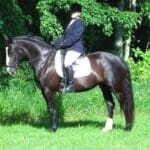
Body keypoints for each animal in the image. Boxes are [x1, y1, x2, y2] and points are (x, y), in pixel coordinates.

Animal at [5, 35, 135, 132]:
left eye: (11, 51)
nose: (10, 71)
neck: (44, 60)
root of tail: (118, 59)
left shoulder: (49, 90)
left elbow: (51, 109)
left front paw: (53, 129)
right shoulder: (44, 91)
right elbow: (49, 108)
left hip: (116, 88)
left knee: (124, 104)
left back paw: (128, 128)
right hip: (104, 87)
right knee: (110, 104)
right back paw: (107, 128)